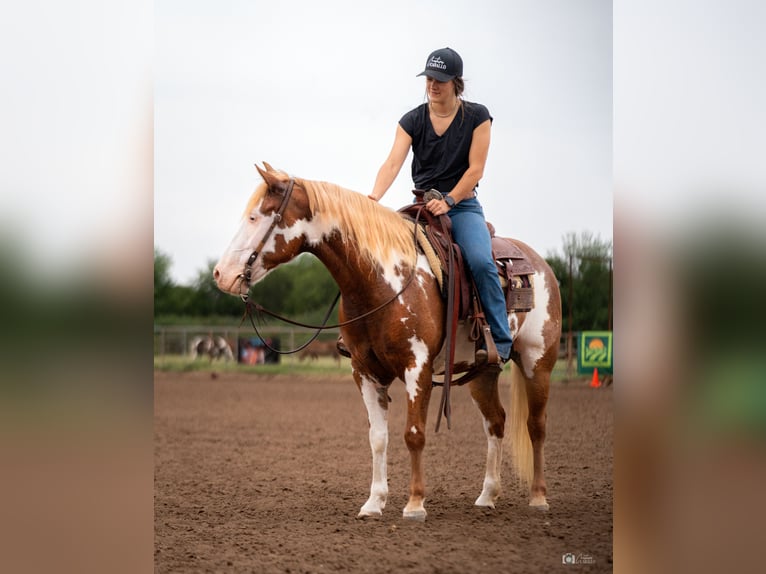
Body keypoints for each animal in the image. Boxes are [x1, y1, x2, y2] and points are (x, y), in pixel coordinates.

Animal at [214, 164, 564, 524]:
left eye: (256, 217)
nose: (221, 274)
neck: (381, 281)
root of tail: (540, 265)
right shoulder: (364, 371)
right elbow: (378, 438)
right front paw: (374, 502)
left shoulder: (417, 368)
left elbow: (414, 433)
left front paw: (415, 504)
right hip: (483, 372)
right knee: (496, 422)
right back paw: (487, 496)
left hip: (538, 362)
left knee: (536, 425)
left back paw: (538, 497)